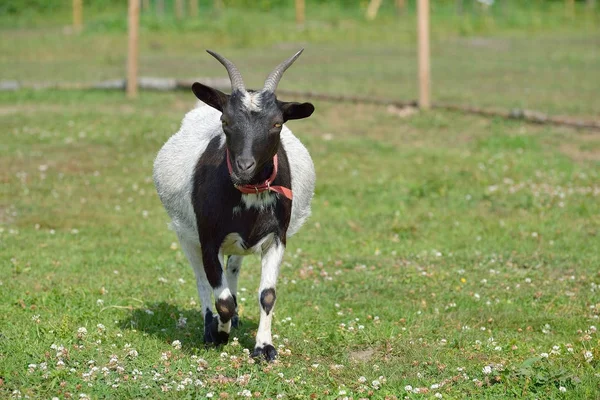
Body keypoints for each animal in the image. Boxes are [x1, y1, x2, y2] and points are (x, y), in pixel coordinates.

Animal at [152, 48, 316, 360]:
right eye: (225, 121)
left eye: (277, 123)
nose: (244, 166)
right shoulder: (208, 239)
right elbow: (222, 299)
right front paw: (219, 334)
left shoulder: (277, 237)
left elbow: (267, 295)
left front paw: (264, 347)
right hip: (185, 234)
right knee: (202, 280)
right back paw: (211, 326)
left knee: (233, 268)